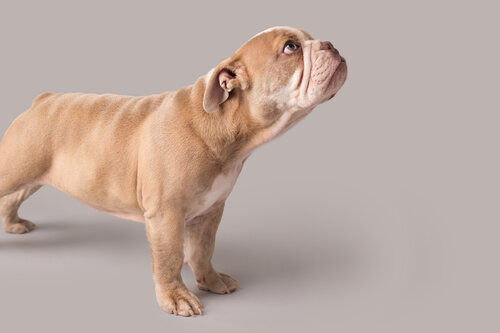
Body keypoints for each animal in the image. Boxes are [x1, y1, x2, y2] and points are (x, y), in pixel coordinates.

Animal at [0, 27, 346, 316]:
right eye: (290, 47)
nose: (331, 44)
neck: (223, 125)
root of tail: (41, 101)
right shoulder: (166, 215)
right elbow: (169, 259)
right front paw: (176, 298)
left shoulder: (210, 212)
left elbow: (203, 250)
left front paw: (211, 281)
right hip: (14, 167)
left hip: (32, 174)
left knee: (11, 199)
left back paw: (14, 225)